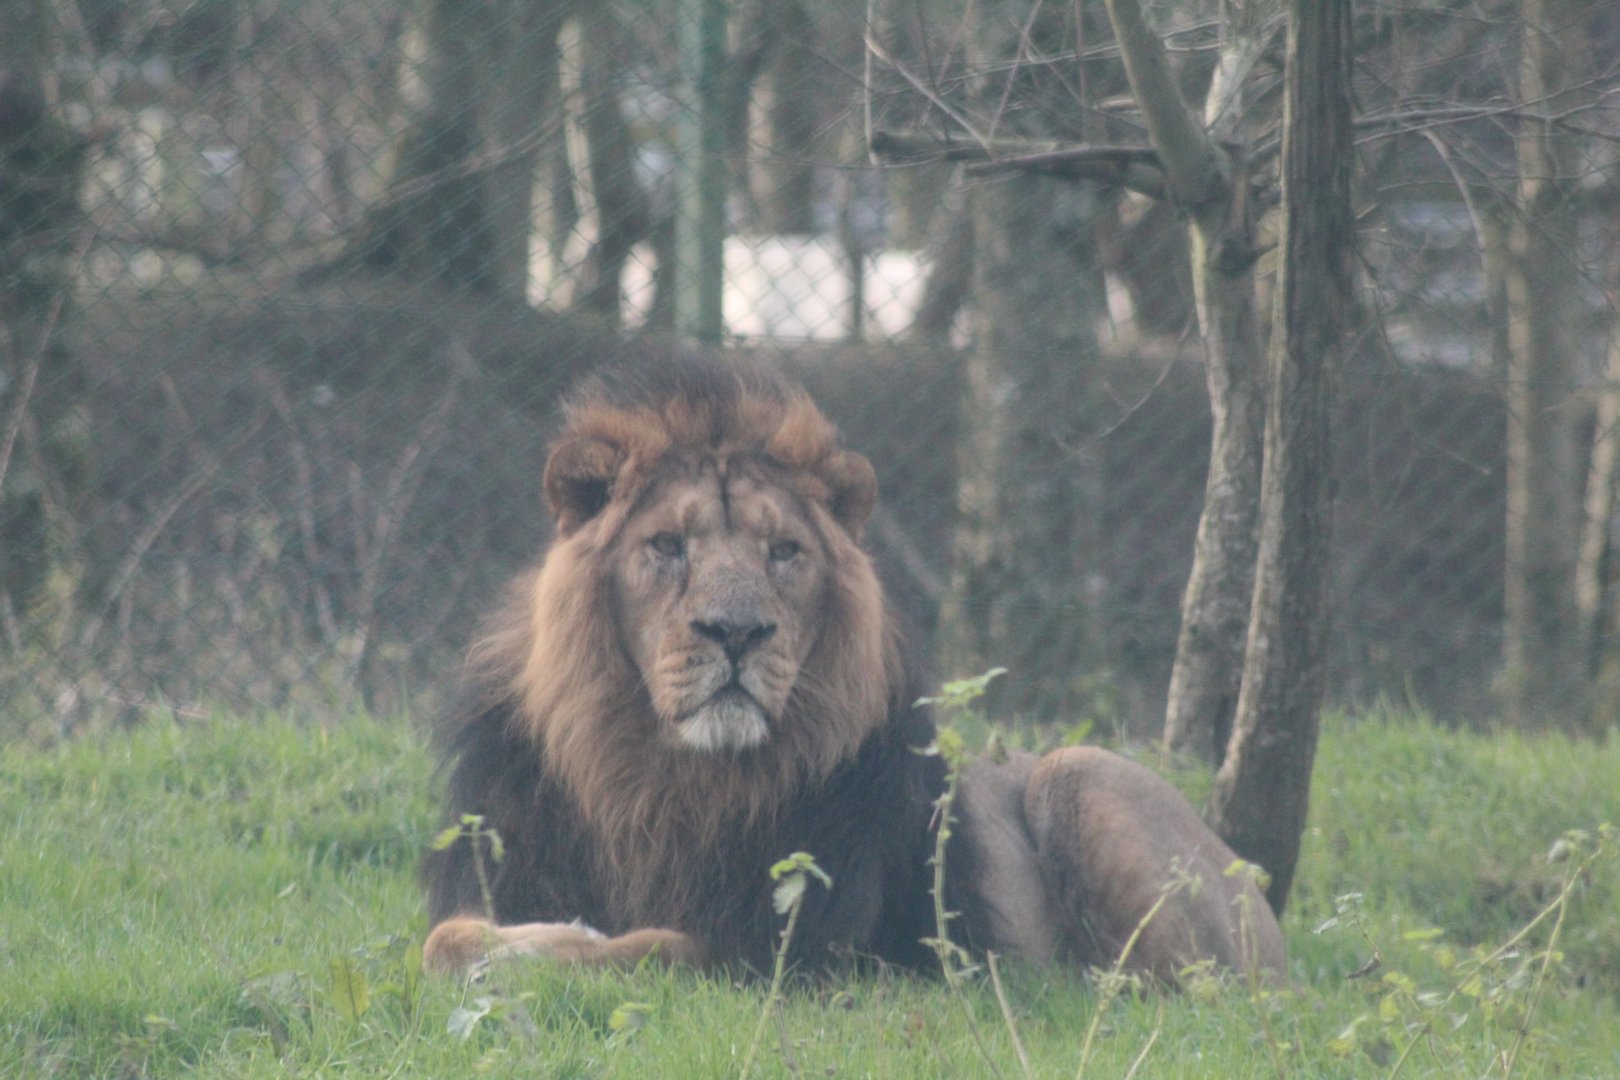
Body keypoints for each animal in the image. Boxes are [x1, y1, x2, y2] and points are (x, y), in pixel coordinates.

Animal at [421, 355, 1285, 985]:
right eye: (666, 545)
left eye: (784, 551)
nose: (737, 631)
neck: (664, 782)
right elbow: (443, 939)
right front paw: (491, 951)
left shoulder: (793, 952)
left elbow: (656, 944)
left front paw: (529, 956)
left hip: (1080, 774)